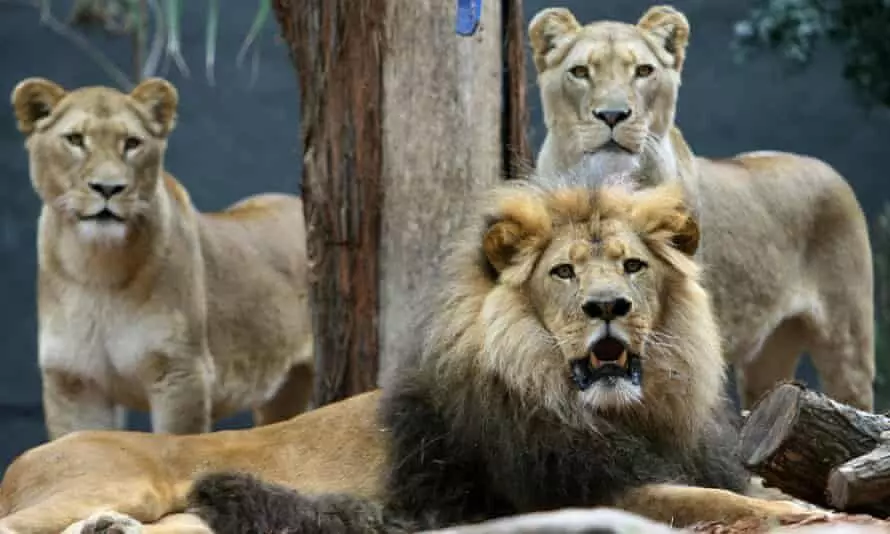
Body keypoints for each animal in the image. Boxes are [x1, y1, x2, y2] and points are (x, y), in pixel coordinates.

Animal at [0, 172, 816, 534]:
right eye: (564, 273)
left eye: (632, 267)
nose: (607, 308)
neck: (626, 414)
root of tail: (22, 460)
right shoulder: (562, 491)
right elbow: (700, 500)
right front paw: (791, 515)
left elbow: (736, 486)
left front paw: (787, 500)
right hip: (110, 482)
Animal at [9, 77, 315, 439]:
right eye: (75, 140)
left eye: (132, 143)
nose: (108, 188)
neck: (97, 270)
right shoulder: (73, 383)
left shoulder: (181, 375)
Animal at [527, 5, 875, 411]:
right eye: (580, 72)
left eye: (643, 71)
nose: (613, 115)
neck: (601, 184)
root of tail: (827, 168)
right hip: (768, 357)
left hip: (846, 342)